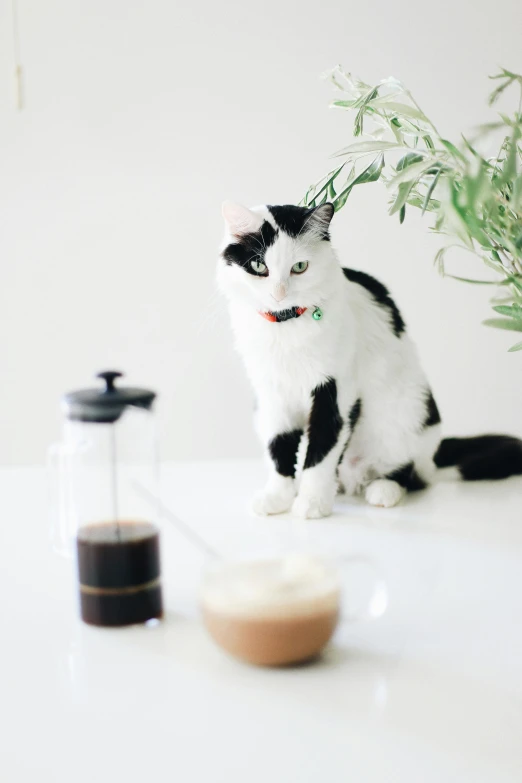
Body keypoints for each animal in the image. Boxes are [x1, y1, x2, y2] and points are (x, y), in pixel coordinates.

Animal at [216, 199, 520, 516]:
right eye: (258, 266)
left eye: (299, 267)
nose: (279, 293)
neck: (285, 328)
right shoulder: (271, 394)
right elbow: (279, 449)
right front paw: (278, 497)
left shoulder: (335, 392)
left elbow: (320, 452)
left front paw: (312, 503)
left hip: (409, 412)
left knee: (409, 472)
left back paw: (383, 490)